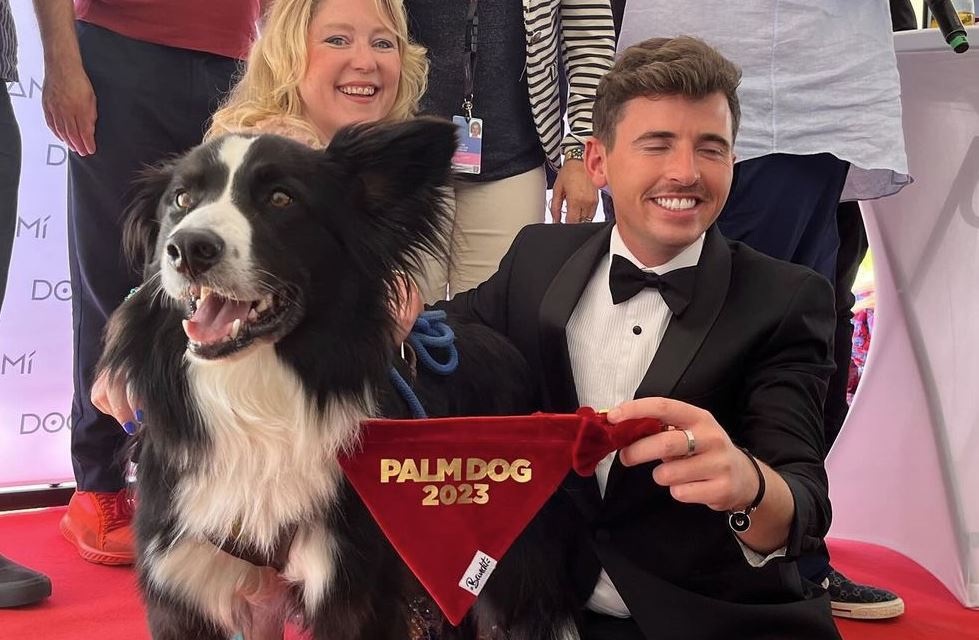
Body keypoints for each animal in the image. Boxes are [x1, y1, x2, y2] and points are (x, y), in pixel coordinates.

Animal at [98, 119, 580, 640]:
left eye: (281, 199)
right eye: (182, 199)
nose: (188, 248)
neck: (253, 394)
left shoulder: (355, 586)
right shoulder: (182, 582)